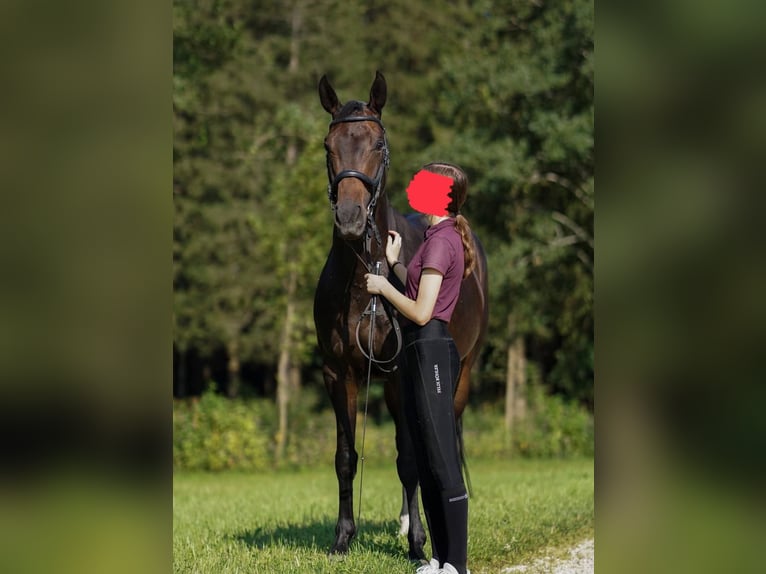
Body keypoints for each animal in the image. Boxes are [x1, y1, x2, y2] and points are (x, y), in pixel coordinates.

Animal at [314, 70, 488, 560]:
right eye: (328, 145)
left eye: (378, 143)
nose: (350, 219)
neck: (364, 280)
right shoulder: (339, 374)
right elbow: (346, 457)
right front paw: (343, 538)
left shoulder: (399, 373)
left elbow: (409, 458)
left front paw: (417, 545)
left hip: (461, 373)